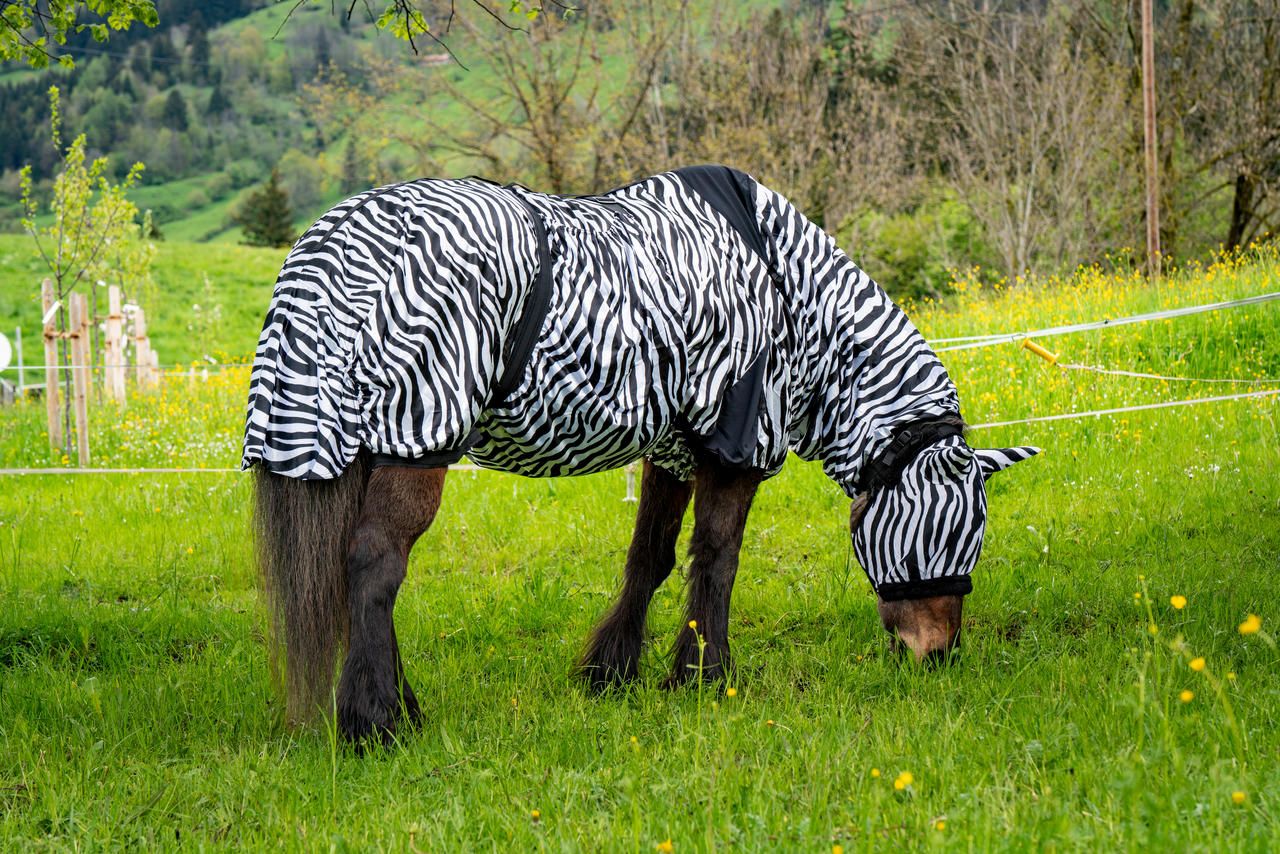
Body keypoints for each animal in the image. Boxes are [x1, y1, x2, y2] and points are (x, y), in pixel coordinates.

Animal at [241, 165, 1039, 742]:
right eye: (959, 528)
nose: (939, 655)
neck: (783, 283)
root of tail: (329, 250)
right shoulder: (733, 449)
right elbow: (716, 560)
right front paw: (706, 677)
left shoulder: (673, 449)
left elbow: (649, 558)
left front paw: (612, 670)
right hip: (415, 444)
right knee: (374, 568)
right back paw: (378, 722)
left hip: (359, 449)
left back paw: (398, 706)